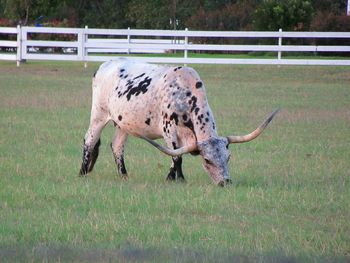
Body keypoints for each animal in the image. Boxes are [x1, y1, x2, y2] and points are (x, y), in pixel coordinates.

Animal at [79, 58, 278, 187]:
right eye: (207, 160)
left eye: (228, 157)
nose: (225, 182)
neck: (185, 93)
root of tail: (105, 64)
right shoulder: (169, 130)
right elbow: (177, 156)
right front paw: (178, 179)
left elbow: (177, 155)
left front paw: (172, 177)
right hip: (98, 114)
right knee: (89, 140)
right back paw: (82, 173)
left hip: (123, 124)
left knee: (117, 146)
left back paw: (124, 175)